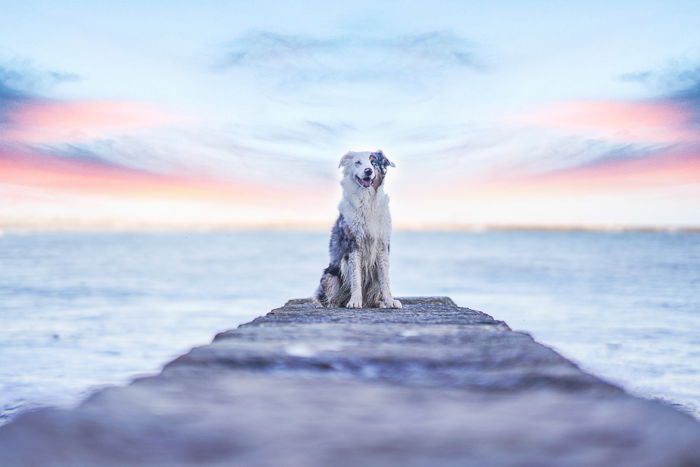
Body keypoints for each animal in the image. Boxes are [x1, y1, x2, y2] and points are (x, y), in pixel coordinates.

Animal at [314, 150, 402, 308]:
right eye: (358, 162)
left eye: (373, 162)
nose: (368, 171)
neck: (366, 201)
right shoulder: (353, 245)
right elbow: (356, 279)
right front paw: (355, 301)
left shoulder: (382, 245)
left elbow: (385, 279)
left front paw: (390, 301)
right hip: (331, 275)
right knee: (330, 298)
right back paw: (336, 303)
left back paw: (378, 302)